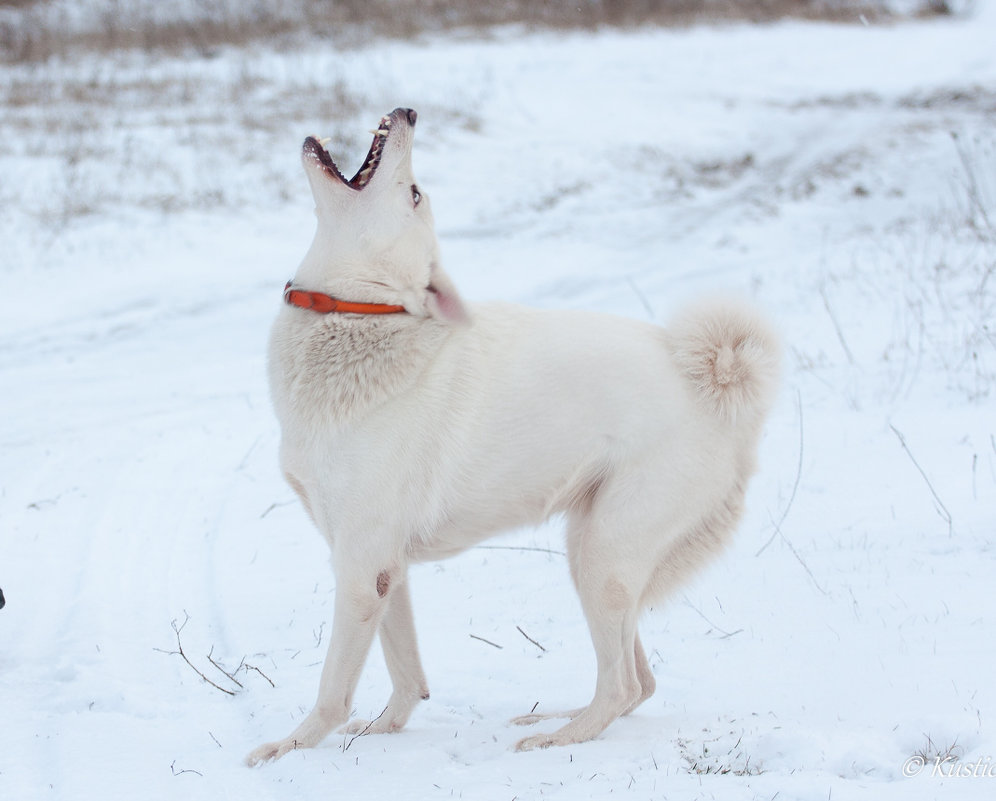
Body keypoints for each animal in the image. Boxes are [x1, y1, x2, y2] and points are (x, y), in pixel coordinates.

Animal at [247, 106, 780, 764]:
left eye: (415, 192)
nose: (407, 112)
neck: (362, 315)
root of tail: (717, 381)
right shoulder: (382, 567)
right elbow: (406, 675)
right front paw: (383, 731)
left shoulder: (362, 566)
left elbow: (332, 689)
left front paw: (290, 747)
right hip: (591, 553)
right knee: (639, 681)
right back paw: (557, 716)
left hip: (604, 559)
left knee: (623, 684)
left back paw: (559, 737)